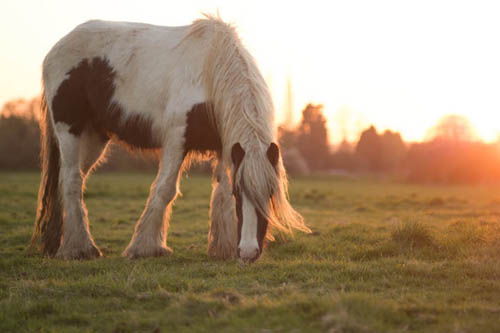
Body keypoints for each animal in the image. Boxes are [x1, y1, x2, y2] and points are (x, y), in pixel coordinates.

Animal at [30, 14, 308, 262]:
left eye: (270, 193)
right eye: (242, 194)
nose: (249, 253)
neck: (210, 71)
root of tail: (56, 49)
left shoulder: (225, 146)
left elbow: (220, 191)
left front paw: (224, 248)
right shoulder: (177, 139)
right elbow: (165, 189)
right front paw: (144, 247)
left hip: (94, 137)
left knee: (69, 180)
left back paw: (61, 244)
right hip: (69, 130)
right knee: (72, 181)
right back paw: (80, 249)